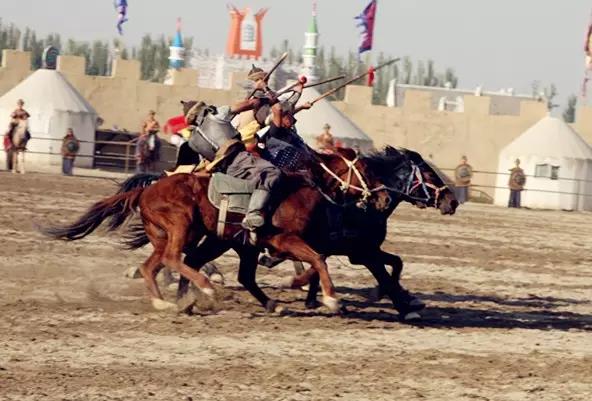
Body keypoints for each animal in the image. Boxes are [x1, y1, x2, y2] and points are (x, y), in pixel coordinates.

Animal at [42, 149, 392, 314]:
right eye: (366, 169)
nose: (385, 197)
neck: (300, 187)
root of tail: (147, 190)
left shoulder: (258, 245)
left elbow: (314, 261)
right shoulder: (283, 240)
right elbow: (317, 259)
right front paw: (331, 299)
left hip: (174, 236)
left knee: (153, 265)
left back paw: (168, 303)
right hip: (182, 226)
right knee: (174, 260)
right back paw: (206, 288)